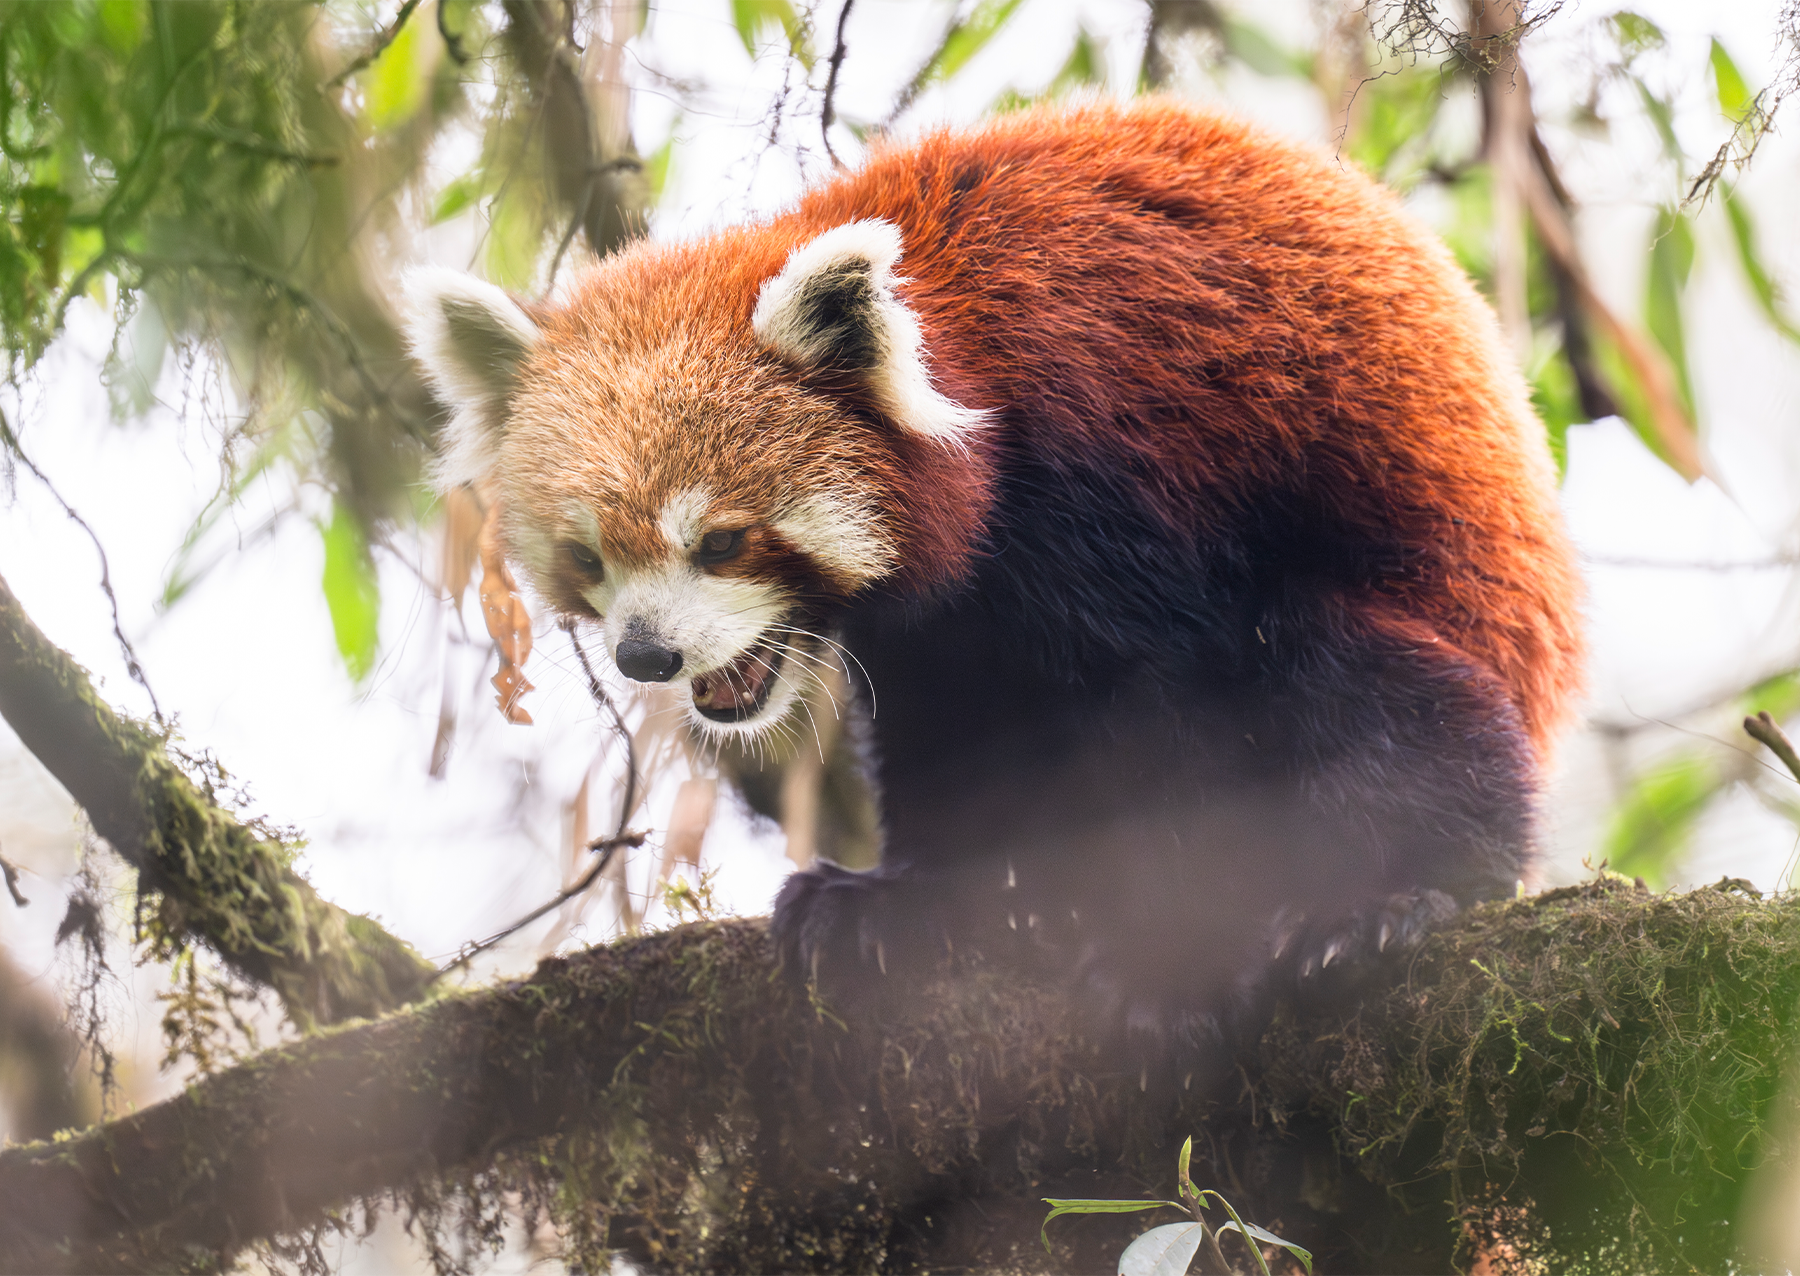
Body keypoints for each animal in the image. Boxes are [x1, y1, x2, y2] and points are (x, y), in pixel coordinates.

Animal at [407, 98, 1585, 1073]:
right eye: (592, 559)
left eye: (723, 542)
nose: (648, 653)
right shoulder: (944, 619)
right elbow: (947, 729)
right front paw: (902, 901)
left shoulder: (1108, 463)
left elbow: (1174, 719)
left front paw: (1168, 963)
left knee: (1366, 683)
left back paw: (1383, 901)